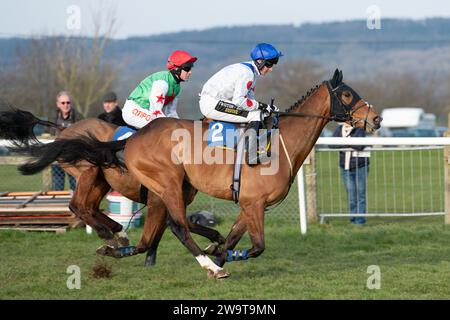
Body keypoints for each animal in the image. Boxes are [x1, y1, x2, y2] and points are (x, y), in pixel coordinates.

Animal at [0, 107, 225, 264]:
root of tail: (65, 128)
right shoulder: (161, 199)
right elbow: (173, 228)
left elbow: (180, 226)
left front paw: (217, 244)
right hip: (88, 172)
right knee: (77, 205)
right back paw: (107, 233)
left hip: (100, 180)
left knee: (90, 207)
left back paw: (118, 232)